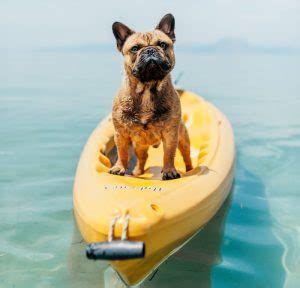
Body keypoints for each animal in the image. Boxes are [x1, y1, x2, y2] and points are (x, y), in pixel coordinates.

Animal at [109, 14, 192, 180]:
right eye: (135, 49)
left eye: (163, 44)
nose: (150, 50)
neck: (147, 87)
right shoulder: (121, 134)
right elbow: (122, 153)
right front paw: (119, 167)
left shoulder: (170, 134)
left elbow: (169, 154)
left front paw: (169, 171)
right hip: (139, 145)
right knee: (142, 159)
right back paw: (137, 172)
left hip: (183, 140)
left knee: (187, 157)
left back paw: (191, 170)